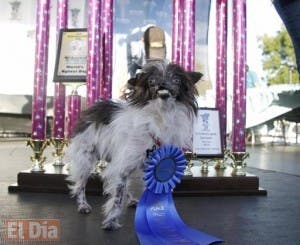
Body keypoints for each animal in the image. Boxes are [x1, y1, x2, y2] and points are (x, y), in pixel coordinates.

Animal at [65, 59, 202, 230]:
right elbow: (117, 197)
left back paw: (130, 200)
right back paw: (83, 205)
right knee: (80, 184)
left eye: (176, 80)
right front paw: (111, 221)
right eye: (151, 81)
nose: (162, 84)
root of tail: (92, 109)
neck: (161, 115)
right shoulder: (121, 166)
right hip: (86, 158)